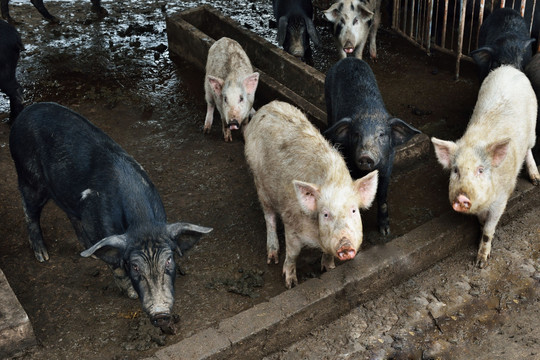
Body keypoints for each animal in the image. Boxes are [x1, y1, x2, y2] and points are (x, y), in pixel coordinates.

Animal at [10, 102, 213, 334]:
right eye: (135, 267)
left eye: (169, 260)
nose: (161, 314)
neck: (142, 224)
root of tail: (26, 111)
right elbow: (116, 267)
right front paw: (131, 294)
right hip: (28, 177)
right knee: (29, 210)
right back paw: (42, 256)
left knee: (71, 216)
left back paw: (88, 253)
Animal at [245, 100, 380, 288]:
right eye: (325, 214)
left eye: (354, 210)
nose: (345, 244)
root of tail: (267, 107)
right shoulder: (291, 223)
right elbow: (293, 253)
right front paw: (290, 283)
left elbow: (328, 255)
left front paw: (329, 269)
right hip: (260, 183)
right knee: (269, 216)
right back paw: (272, 257)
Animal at [322, 58, 420, 236]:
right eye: (356, 134)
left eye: (381, 134)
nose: (366, 156)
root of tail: (348, 58)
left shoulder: (387, 166)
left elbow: (382, 196)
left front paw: (385, 231)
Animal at [430, 64, 540, 268]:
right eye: (455, 170)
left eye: (480, 170)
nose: (462, 196)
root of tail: (509, 68)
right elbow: (482, 222)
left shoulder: (501, 200)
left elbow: (490, 229)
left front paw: (480, 263)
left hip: (533, 130)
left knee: (530, 148)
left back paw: (536, 180)